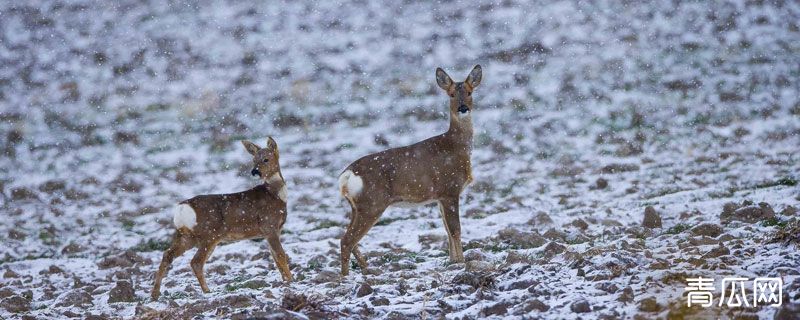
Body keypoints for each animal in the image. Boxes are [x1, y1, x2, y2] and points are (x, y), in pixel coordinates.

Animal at [150, 138, 290, 300]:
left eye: (266, 159)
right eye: (254, 160)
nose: (255, 171)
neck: (275, 195)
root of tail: (182, 208)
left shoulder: (273, 231)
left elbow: (275, 258)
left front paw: (285, 280)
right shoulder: (269, 226)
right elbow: (280, 255)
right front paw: (291, 280)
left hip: (187, 236)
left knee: (168, 255)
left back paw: (154, 294)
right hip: (209, 234)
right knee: (196, 261)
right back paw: (207, 291)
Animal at [338, 64, 482, 276]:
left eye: (470, 92)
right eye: (451, 94)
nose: (463, 108)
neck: (455, 147)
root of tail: (347, 175)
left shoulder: (440, 196)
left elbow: (447, 230)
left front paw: (452, 260)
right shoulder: (450, 189)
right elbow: (455, 229)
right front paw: (461, 262)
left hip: (357, 206)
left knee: (348, 238)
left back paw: (368, 269)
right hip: (372, 204)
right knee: (347, 240)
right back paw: (345, 276)